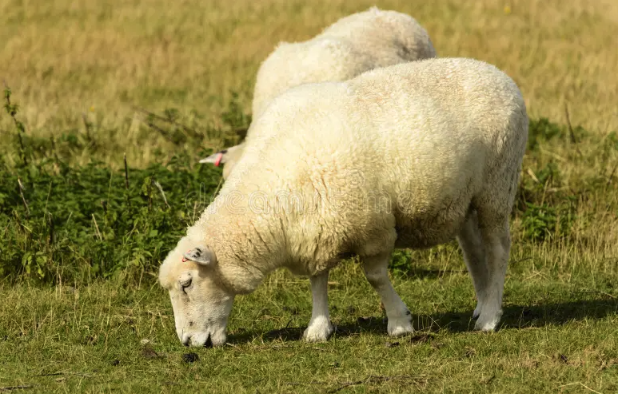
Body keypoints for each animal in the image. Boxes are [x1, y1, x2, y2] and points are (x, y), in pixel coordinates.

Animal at [161, 57, 528, 346]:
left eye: (187, 283)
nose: (187, 342)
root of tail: (500, 75)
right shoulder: (313, 231)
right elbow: (317, 280)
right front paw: (318, 327)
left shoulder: (374, 228)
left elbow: (375, 278)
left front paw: (399, 322)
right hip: (466, 198)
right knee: (474, 251)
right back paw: (482, 304)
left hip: (498, 184)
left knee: (498, 249)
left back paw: (490, 317)